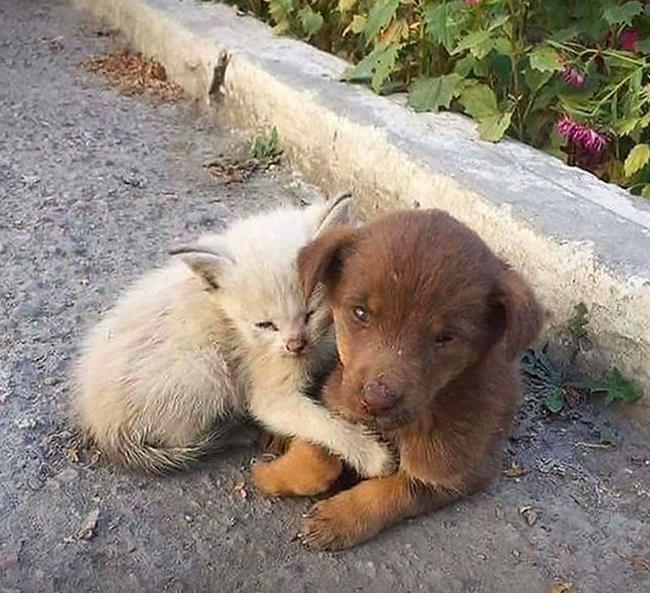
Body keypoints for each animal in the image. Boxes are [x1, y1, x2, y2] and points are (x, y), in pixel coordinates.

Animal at [71, 198, 390, 476]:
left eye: (310, 313)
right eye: (265, 325)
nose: (296, 344)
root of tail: (103, 423)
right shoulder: (270, 392)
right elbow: (319, 421)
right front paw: (372, 454)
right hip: (205, 369)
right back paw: (232, 433)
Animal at [253, 209, 540, 552]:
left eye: (446, 337)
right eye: (360, 313)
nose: (376, 401)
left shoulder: (457, 471)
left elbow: (394, 491)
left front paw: (339, 519)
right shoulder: (336, 395)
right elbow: (320, 451)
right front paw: (270, 475)